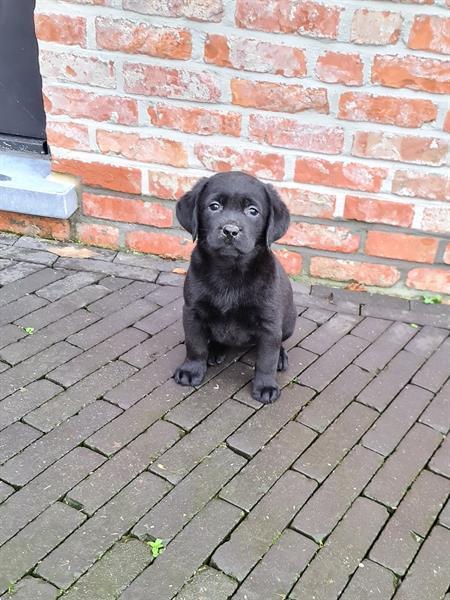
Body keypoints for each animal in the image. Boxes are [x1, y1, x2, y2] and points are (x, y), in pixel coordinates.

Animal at [174, 170, 298, 404]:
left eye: (253, 211)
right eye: (214, 206)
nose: (230, 230)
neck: (230, 270)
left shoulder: (269, 323)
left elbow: (266, 359)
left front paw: (265, 386)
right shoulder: (192, 311)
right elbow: (195, 345)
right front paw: (191, 370)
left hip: (288, 322)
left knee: (278, 344)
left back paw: (281, 357)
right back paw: (214, 350)